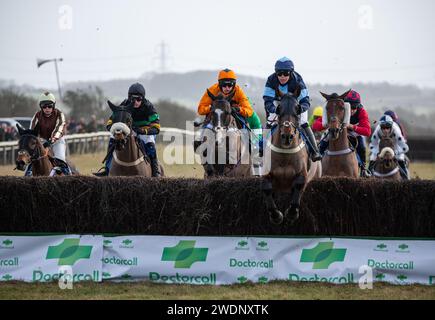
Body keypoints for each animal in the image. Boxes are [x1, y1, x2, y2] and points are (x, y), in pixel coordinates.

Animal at [262, 86, 324, 224]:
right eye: (279, 108)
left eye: (298, 108)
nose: (287, 136)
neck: (285, 155)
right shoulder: (266, 174)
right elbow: (266, 188)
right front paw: (276, 215)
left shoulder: (302, 174)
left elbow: (299, 185)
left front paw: (291, 214)